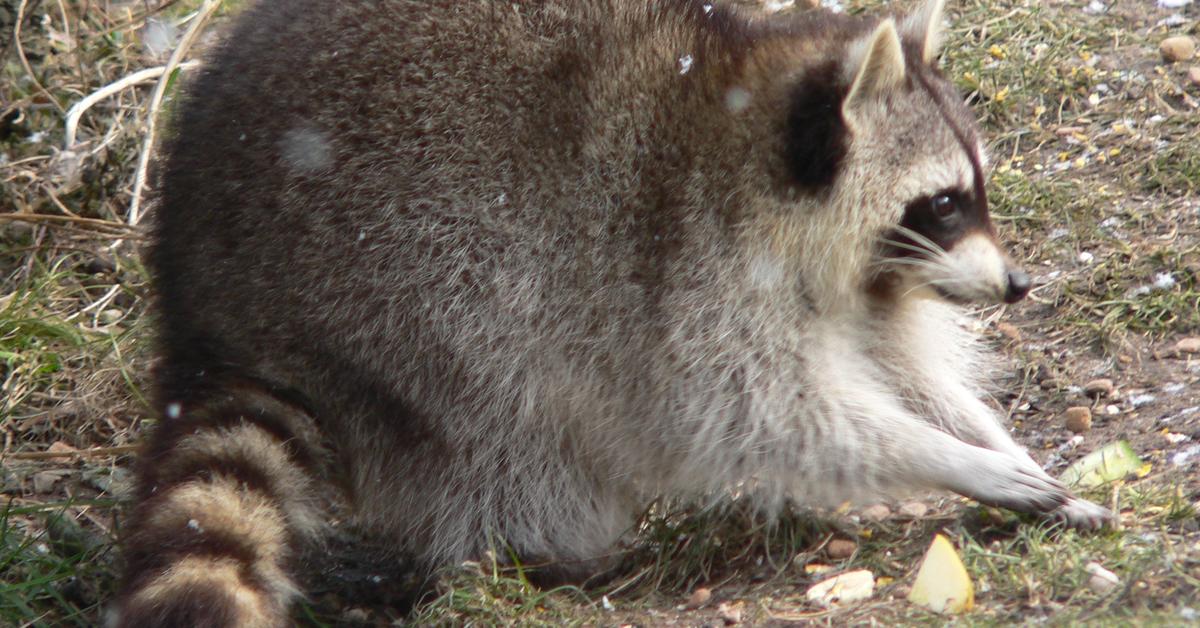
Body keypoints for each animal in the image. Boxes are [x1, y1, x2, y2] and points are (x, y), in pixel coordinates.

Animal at [114, 0, 1113, 624]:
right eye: (942, 204)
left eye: (973, 193)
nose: (1017, 286)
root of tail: (210, 311)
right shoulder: (692, 278)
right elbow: (779, 419)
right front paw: (949, 460)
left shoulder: (866, 283)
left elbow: (902, 367)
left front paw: (984, 437)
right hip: (396, 292)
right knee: (497, 416)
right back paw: (548, 547)